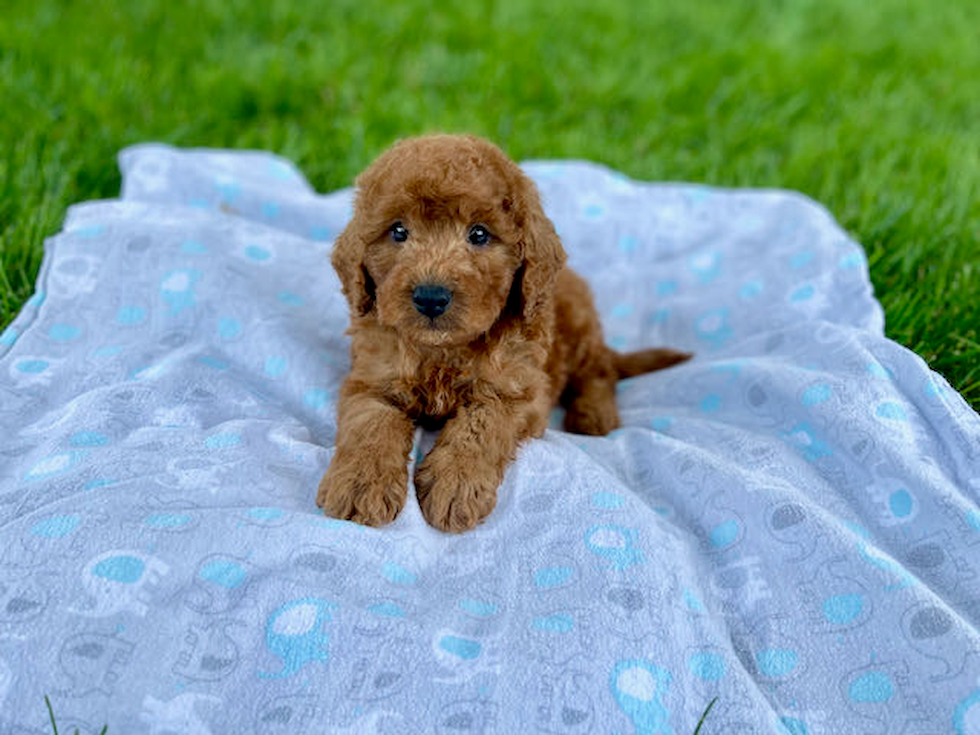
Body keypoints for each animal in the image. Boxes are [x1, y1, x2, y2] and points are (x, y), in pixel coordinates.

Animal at [316, 135, 688, 532]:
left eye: (479, 234)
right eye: (398, 231)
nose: (430, 297)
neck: (444, 351)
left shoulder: (519, 391)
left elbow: (482, 424)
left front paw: (455, 484)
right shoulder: (370, 379)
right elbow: (372, 424)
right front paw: (359, 484)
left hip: (581, 324)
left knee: (599, 369)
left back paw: (593, 415)